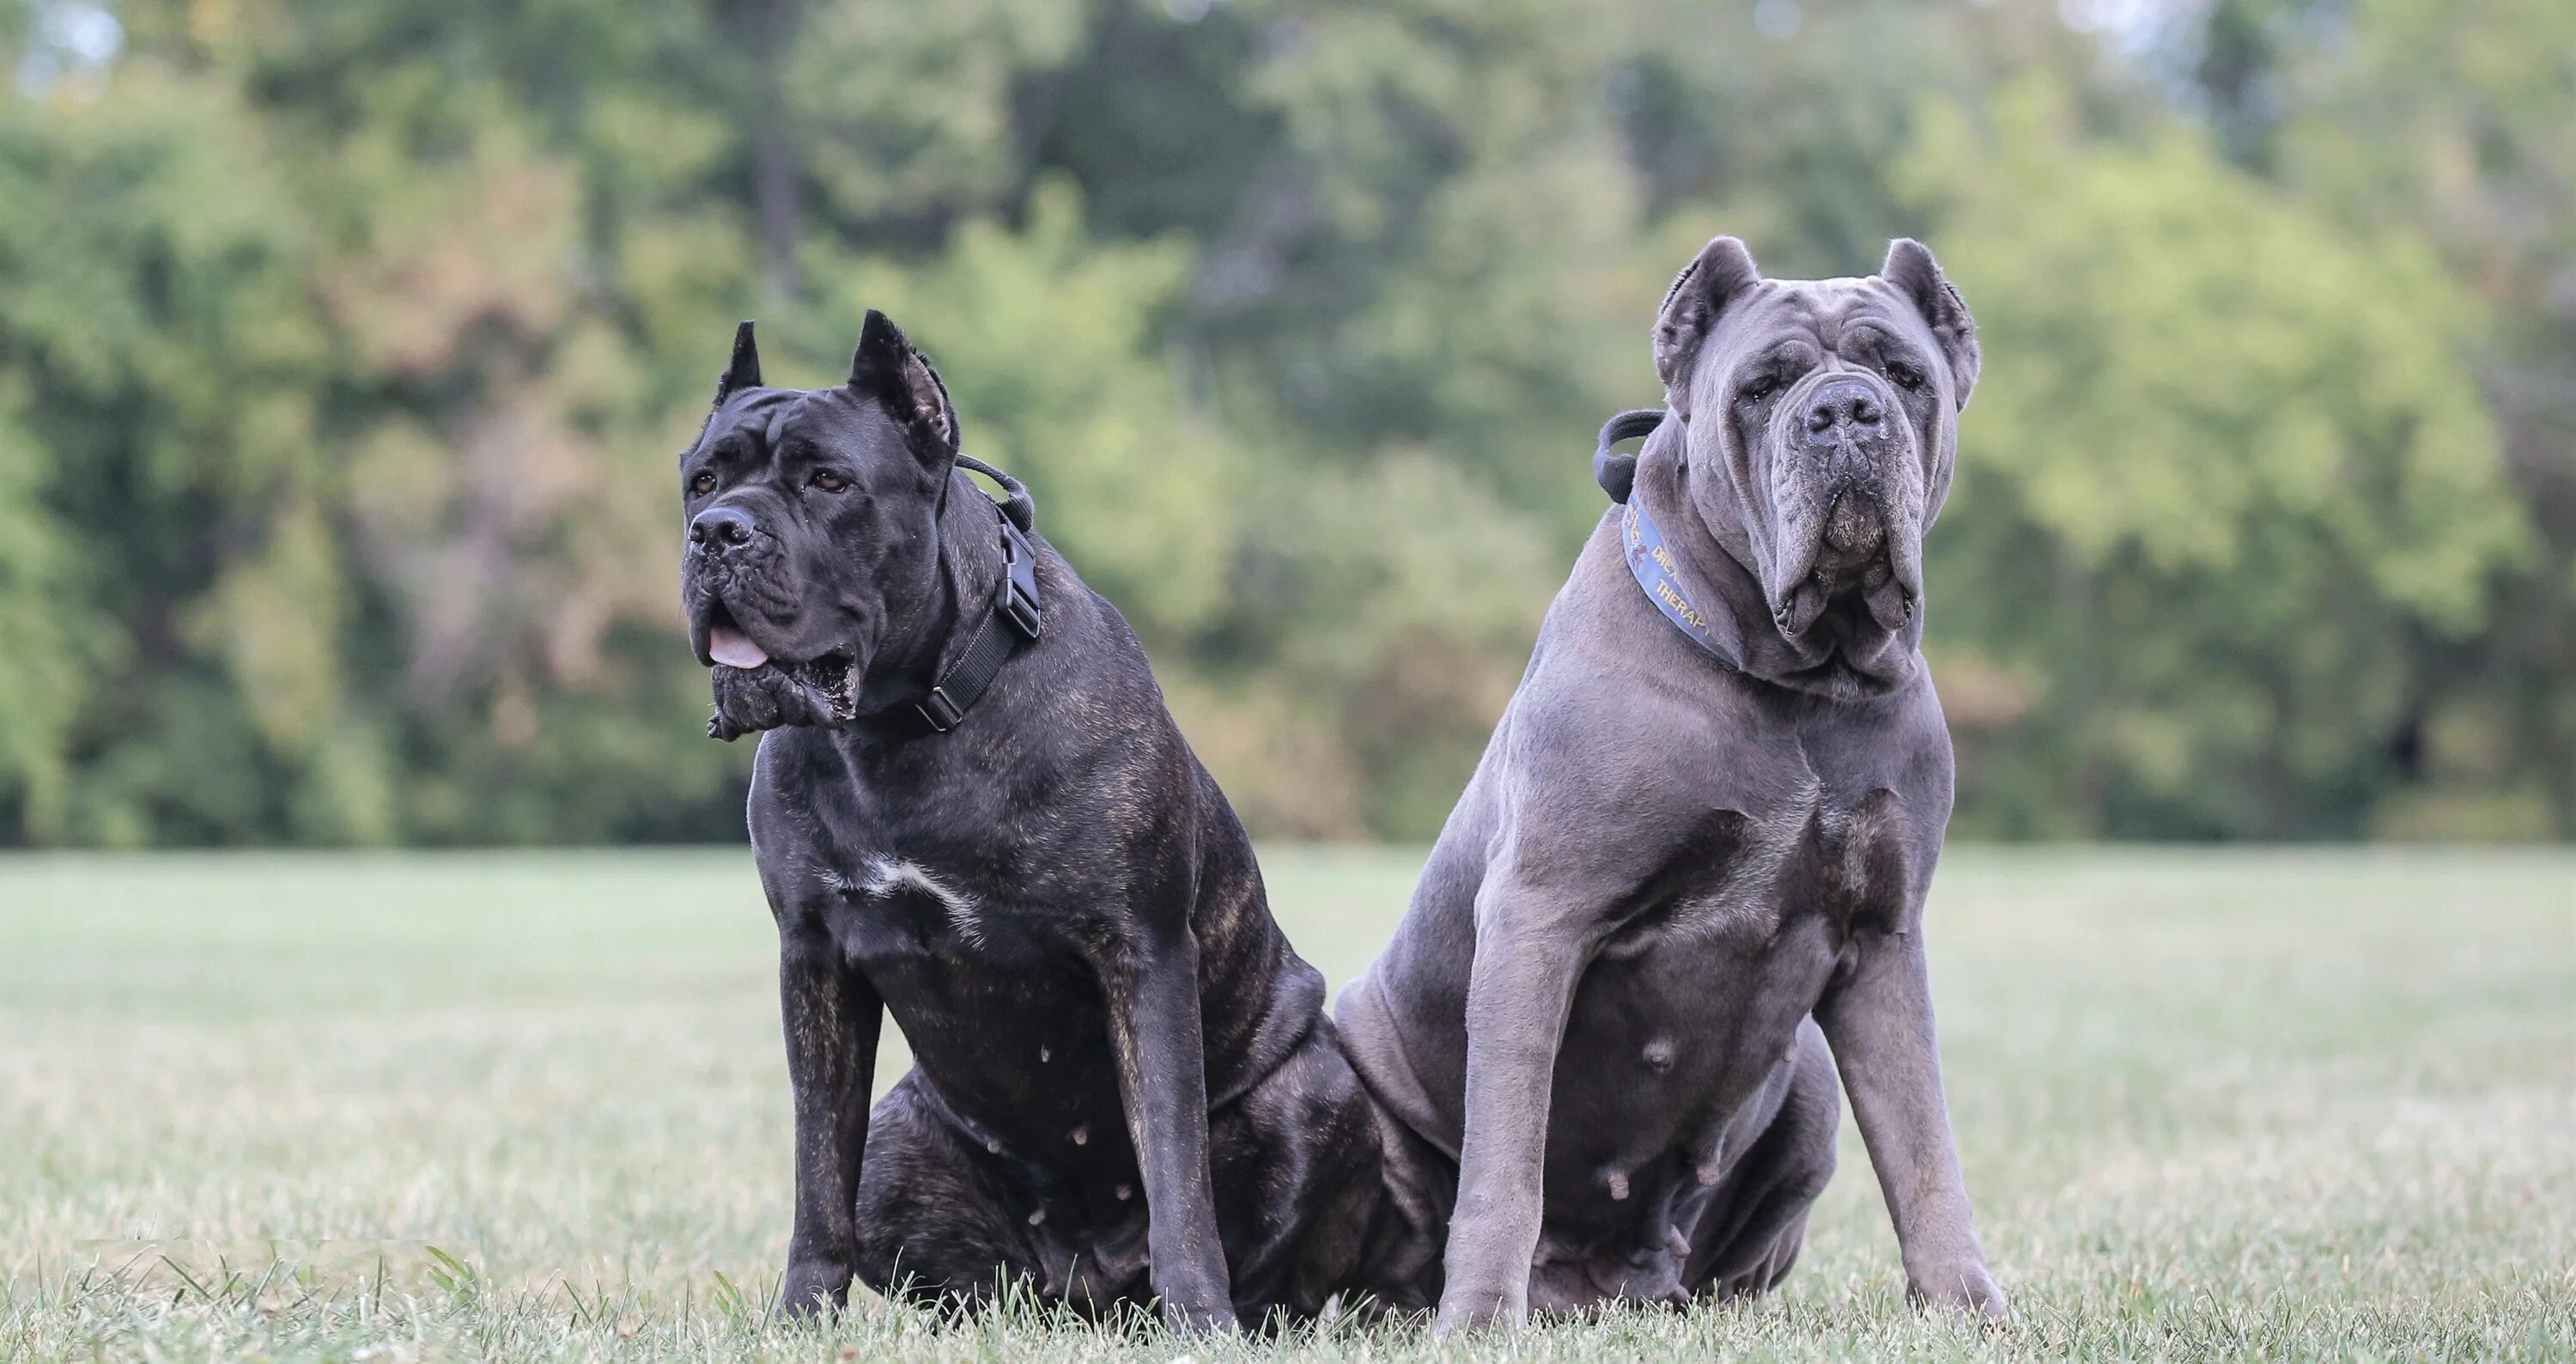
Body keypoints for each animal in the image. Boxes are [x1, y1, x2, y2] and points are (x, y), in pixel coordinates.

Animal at [675, 313, 1381, 1319]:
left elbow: (1176, 1168)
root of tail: (1088, 1285)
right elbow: (817, 1170)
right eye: (701, 480)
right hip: (900, 1147)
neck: (904, 726)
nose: (718, 532)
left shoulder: (1141, 952)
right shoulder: (814, 959)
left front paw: (1202, 1319)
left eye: (829, 482)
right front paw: (800, 1319)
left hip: (1318, 1096)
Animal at [1329, 237, 2009, 1330]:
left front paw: (1966, 1305)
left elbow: (1922, 1147)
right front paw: (1478, 1316)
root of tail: (1598, 1284)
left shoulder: (1883, 937)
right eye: (1761, 388)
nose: (1844, 412)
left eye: (1906, 377)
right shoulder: (1538, 916)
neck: (1793, 683)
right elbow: (1505, 1155)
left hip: (1807, 1085)